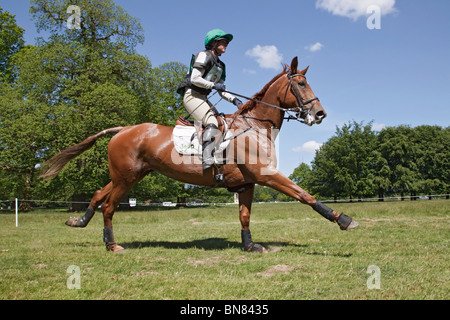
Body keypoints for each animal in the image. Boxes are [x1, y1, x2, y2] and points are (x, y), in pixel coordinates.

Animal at [41, 57, 358, 252]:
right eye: (301, 84)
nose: (320, 113)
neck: (256, 126)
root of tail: (124, 129)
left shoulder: (247, 183)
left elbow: (245, 216)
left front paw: (249, 245)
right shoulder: (266, 175)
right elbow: (305, 195)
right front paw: (343, 219)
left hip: (128, 176)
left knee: (98, 194)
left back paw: (79, 221)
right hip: (126, 179)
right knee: (109, 206)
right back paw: (112, 244)